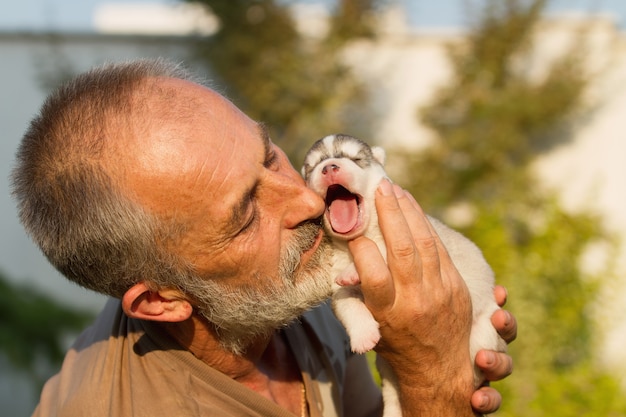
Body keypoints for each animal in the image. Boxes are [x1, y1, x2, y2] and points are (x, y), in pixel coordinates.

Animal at [300, 135, 504, 414]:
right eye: (313, 166)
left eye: (355, 159)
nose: (330, 167)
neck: (355, 242)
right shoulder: (337, 285)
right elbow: (348, 305)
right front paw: (363, 336)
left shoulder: (411, 240)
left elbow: (383, 250)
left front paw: (356, 269)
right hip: (386, 370)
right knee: (393, 395)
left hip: (484, 335)